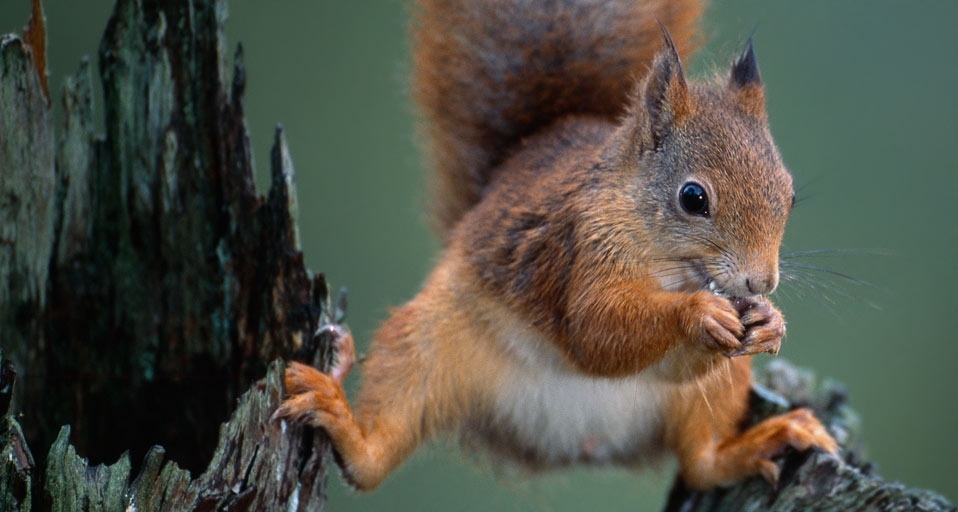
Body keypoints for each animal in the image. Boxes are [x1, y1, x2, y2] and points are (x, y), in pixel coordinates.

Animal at [274, 0, 838, 492]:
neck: (670, 265)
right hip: (426, 344)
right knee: (371, 460)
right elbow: (596, 330)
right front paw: (698, 313)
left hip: (714, 392)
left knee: (702, 464)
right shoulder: (579, 245)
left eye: (788, 194)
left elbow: (662, 363)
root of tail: (571, 444)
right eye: (693, 197)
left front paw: (770, 322)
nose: (761, 282)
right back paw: (340, 411)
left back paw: (765, 440)